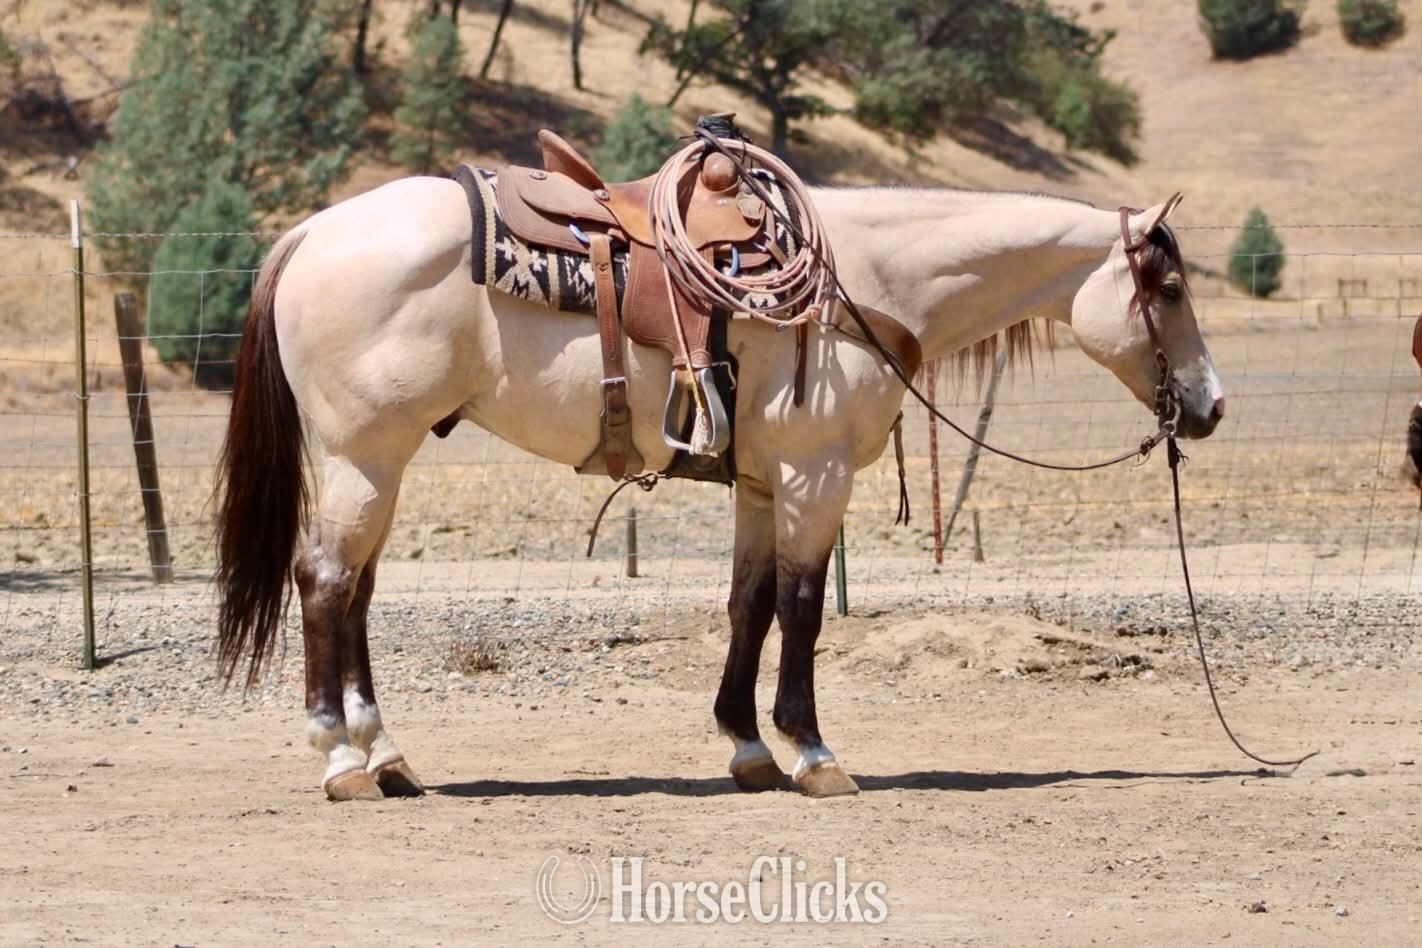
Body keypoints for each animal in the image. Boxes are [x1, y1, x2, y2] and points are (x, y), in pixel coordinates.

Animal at [213, 176, 1224, 801]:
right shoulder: (815, 478)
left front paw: (746, 747)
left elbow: (751, 604)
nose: (1211, 405)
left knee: (357, 593)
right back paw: (340, 760)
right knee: (325, 583)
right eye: (1169, 287)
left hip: (382, 463)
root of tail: (313, 232)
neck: (863, 283)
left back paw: (387, 756)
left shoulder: (762, 486)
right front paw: (812, 752)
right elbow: (804, 609)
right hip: (362, 457)